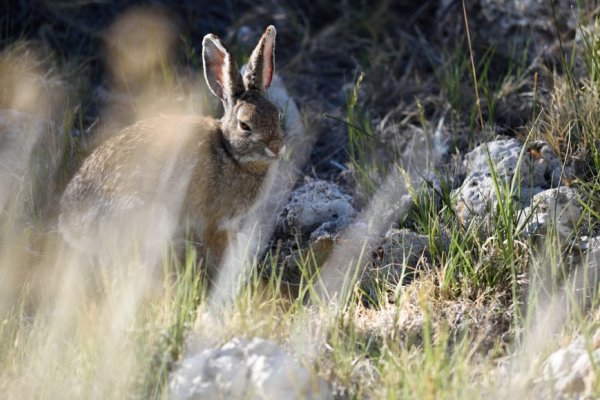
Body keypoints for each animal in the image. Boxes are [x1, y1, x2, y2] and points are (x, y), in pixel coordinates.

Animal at [59, 25, 284, 268]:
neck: (230, 152)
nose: (277, 147)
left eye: (277, 114)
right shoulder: (216, 223)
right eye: (244, 125)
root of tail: (69, 225)